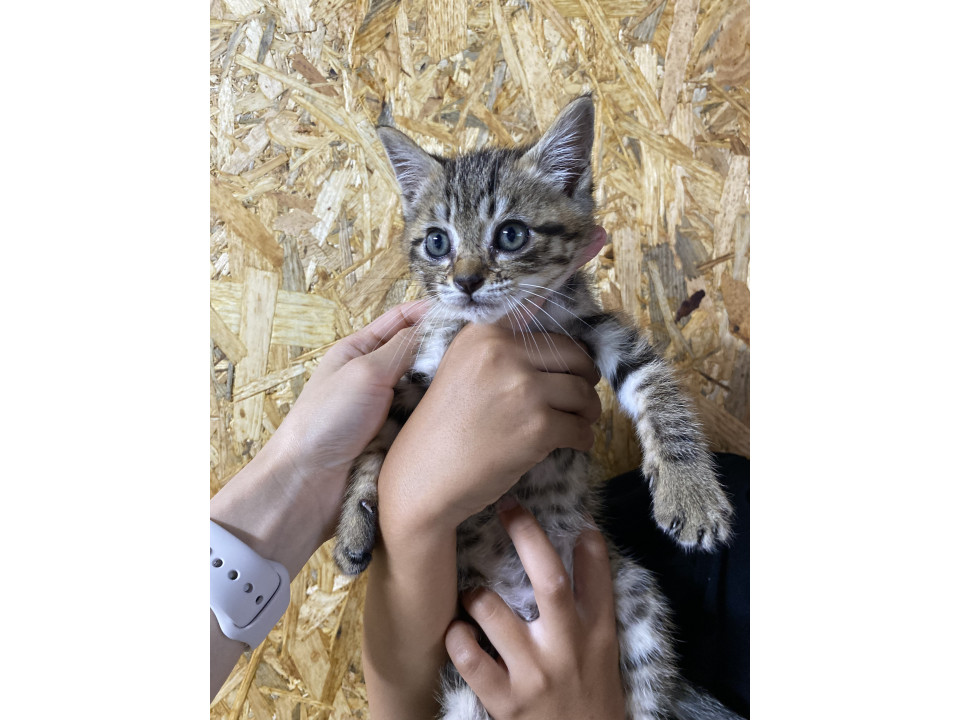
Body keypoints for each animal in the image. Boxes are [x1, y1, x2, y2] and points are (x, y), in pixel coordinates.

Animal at [333, 95, 742, 720]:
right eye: (437, 242)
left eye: (511, 234)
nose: (466, 281)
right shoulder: (423, 380)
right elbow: (380, 440)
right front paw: (354, 525)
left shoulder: (597, 332)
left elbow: (660, 391)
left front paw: (691, 494)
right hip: (467, 680)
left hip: (638, 602)